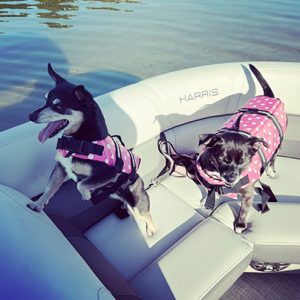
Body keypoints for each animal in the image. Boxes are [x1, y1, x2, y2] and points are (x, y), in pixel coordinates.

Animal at [27, 63, 157, 237]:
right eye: (45, 100)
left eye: (59, 106)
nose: (30, 116)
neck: (78, 141)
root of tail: (140, 182)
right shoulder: (60, 168)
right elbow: (49, 189)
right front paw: (38, 204)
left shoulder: (108, 174)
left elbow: (81, 184)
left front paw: (86, 194)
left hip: (137, 203)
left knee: (148, 216)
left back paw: (151, 229)